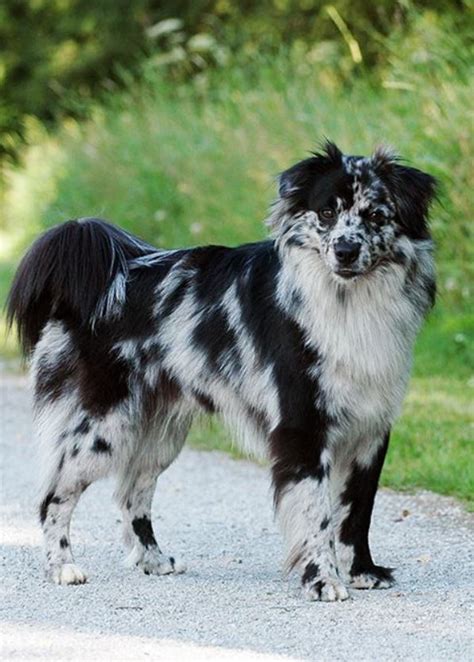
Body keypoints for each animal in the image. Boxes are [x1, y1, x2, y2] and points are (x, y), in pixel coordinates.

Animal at [7, 143, 436, 604]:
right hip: (102, 429)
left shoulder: (370, 430)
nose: (345, 250)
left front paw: (361, 571)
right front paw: (322, 579)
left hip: (159, 436)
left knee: (131, 495)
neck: (346, 303)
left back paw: (153, 559)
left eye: (376, 214)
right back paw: (62, 566)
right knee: (53, 496)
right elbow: (316, 514)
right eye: (326, 212)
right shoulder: (302, 428)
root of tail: (107, 278)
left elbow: (357, 513)